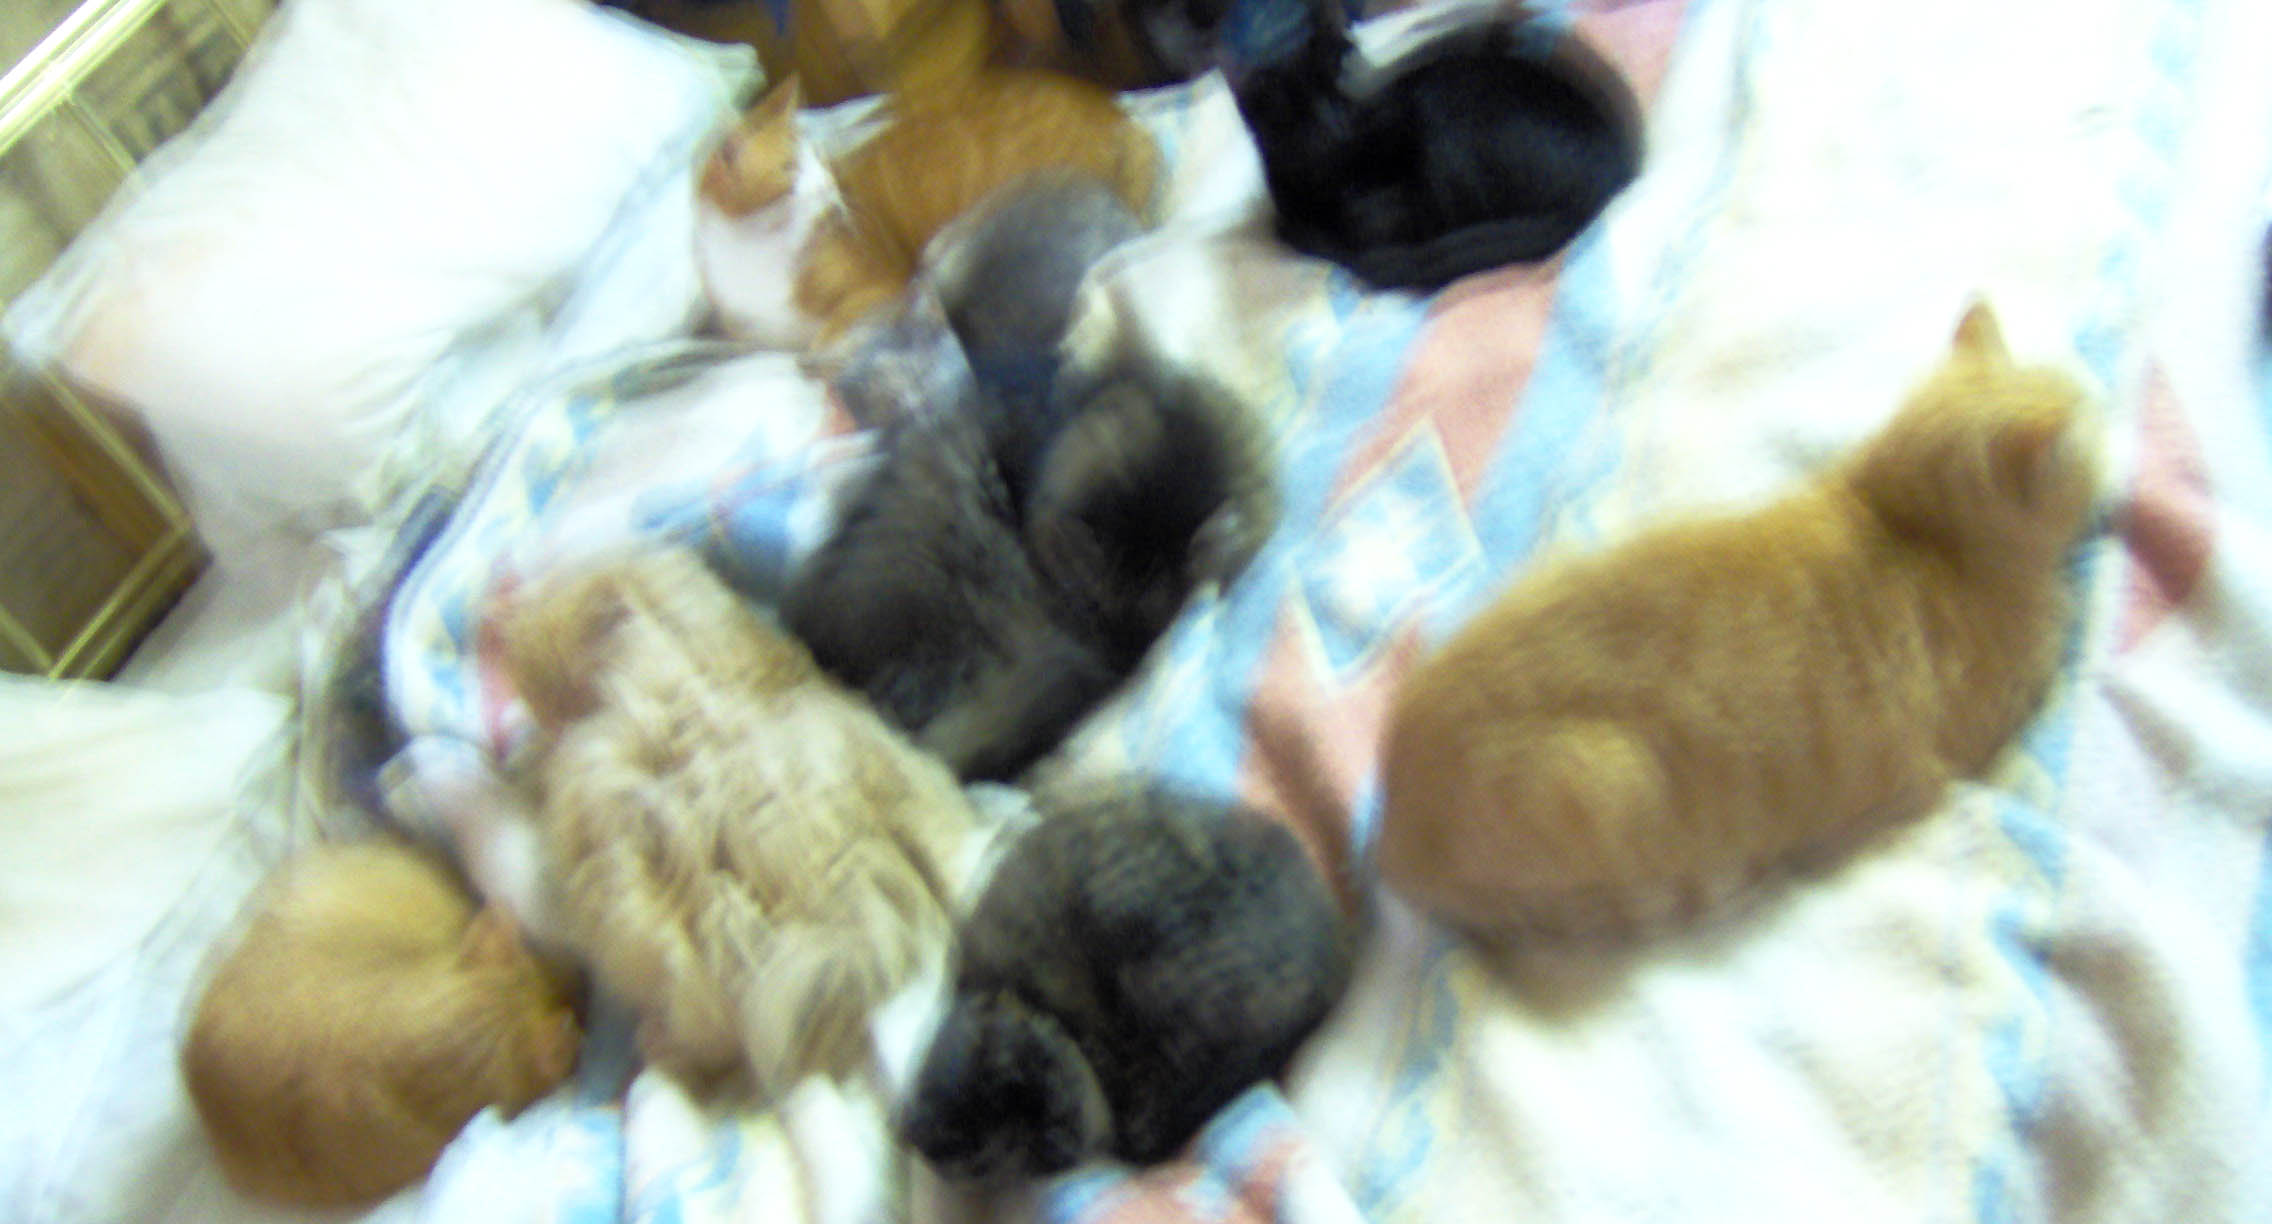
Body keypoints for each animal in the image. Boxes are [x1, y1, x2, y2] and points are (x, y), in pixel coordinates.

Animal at [695, 69, 1159, 351]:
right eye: (792, 169)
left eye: (822, 162)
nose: (830, 189)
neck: (757, 251)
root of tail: (1118, 115)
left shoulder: (885, 286)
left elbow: (825, 337)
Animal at [1375, 301, 2104, 940]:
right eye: (2093, 426)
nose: (2106, 424)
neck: (1904, 516)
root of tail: (1393, 838)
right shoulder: (1996, 710)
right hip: (1604, 779)